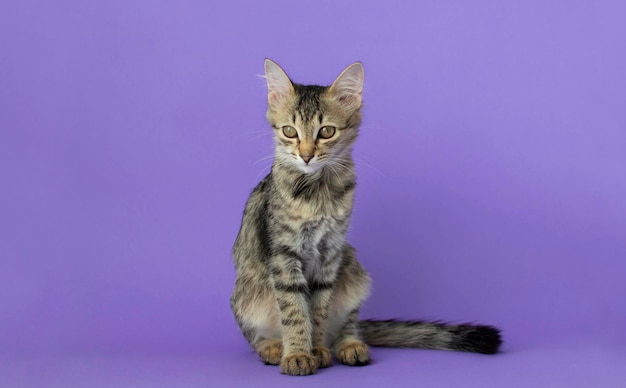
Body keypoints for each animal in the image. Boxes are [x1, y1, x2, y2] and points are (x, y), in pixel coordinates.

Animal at [230, 59, 502, 376]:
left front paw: (317, 350)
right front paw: (297, 354)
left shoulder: (330, 253)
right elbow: (295, 312)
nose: (306, 155)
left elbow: (318, 313)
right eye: (289, 131)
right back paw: (274, 348)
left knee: (346, 327)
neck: (318, 194)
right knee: (257, 336)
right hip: (247, 295)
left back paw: (350, 347)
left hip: (353, 273)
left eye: (326, 132)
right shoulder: (284, 256)